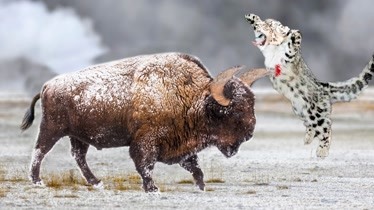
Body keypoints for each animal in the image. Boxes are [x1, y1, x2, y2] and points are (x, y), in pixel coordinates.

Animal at [20, 52, 268, 192]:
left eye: (251, 104)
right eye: (230, 111)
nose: (249, 132)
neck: (192, 97)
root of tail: (47, 86)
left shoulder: (181, 146)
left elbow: (194, 166)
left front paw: (201, 186)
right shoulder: (146, 141)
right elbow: (145, 165)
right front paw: (152, 188)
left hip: (78, 136)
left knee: (78, 156)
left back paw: (97, 182)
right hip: (52, 129)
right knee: (40, 151)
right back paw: (37, 181)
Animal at [244, 13, 372, 158]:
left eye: (270, 26)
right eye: (265, 23)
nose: (261, 25)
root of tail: (323, 86)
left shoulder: (287, 56)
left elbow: (292, 45)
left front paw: (294, 33)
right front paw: (252, 18)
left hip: (315, 113)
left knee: (326, 126)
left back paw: (322, 151)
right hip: (300, 110)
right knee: (312, 125)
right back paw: (308, 138)